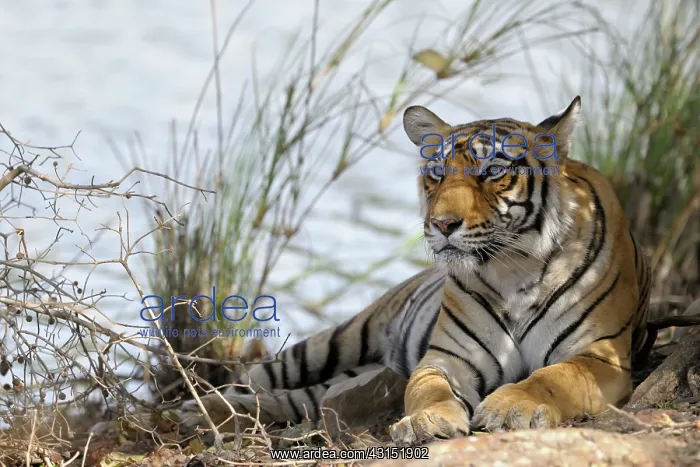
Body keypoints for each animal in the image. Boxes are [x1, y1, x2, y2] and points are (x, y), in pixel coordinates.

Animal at [177, 96, 652, 446]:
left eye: (494, 170)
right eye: (437, 173)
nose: (442, 224)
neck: (514, 267)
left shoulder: (600, 354)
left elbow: (553, 376)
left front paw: (511, 407)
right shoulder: (448, 357)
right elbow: (426, 388)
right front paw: (428, 421)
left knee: (301, 398)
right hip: (336, 341)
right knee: (254, 380)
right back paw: (201, 410)